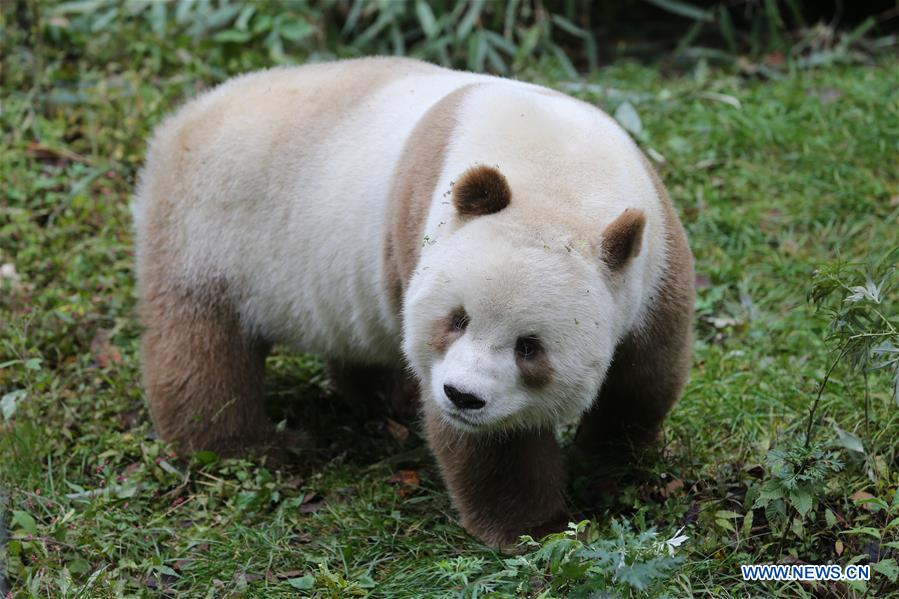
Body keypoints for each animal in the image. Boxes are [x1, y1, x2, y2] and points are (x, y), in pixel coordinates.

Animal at [134, 56, 696, 548]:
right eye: (457, 319)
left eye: (529, 347)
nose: (463, 396)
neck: (559, 175)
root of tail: (182, 120)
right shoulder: (430, 229)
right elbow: (493, 444)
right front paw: (537, 528)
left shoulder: (655, 261)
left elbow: (645, 375)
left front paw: (611, 460)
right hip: (211, 232)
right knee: (202, 355)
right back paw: (243, 448)